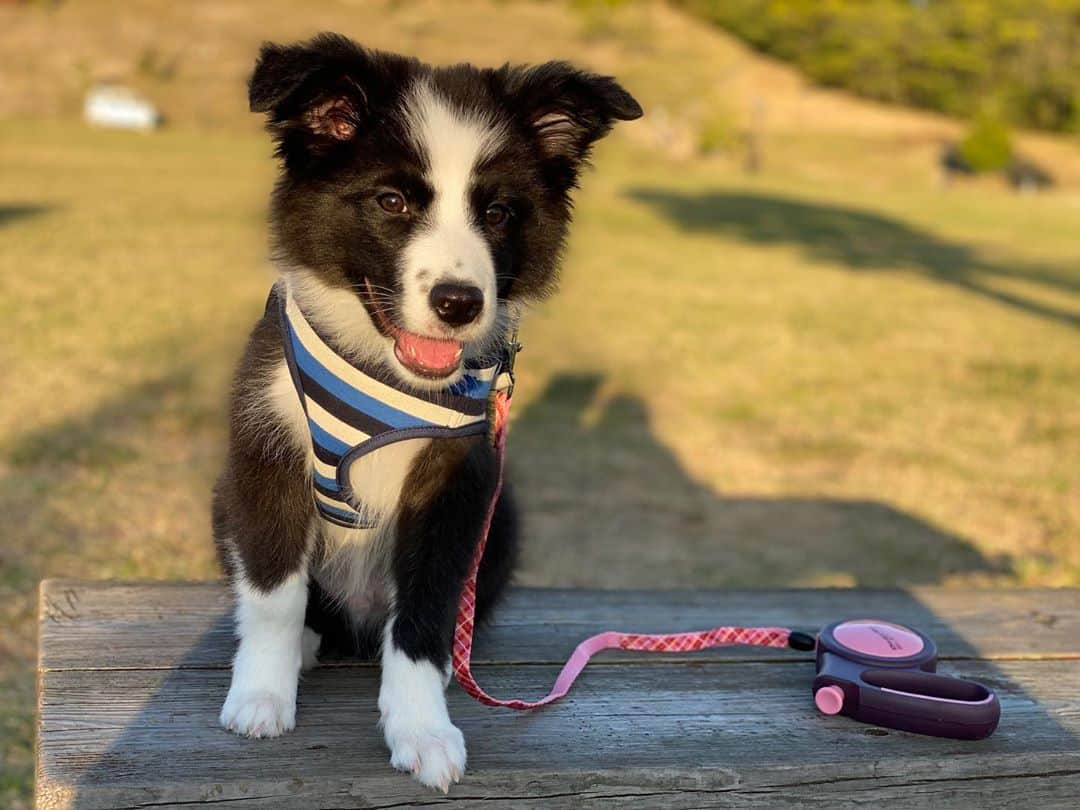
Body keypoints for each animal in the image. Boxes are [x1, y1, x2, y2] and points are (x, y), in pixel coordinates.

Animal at [212, 31, 639, 794]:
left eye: (497, 212)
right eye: (391, 201)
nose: (459, 302)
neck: (383, 369)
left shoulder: (458, 481)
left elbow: (427, 611)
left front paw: (422, 730)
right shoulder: (264, 449)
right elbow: (273, 593)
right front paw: (260, 695)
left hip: (503, 521)